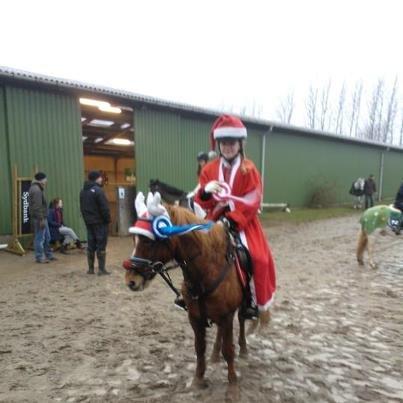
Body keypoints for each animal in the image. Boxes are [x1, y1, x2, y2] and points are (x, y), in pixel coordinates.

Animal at [122, 193, 268, 388]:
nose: (131, 281)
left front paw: (232, 383)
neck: (206, 271)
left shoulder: (227, 315)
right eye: (134, 239)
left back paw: (243, 348)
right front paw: (198, 379)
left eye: (148, 241)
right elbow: (200, 348)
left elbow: (228, 349)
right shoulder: (195, 317)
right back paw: (214, 355)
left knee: (241, 320)